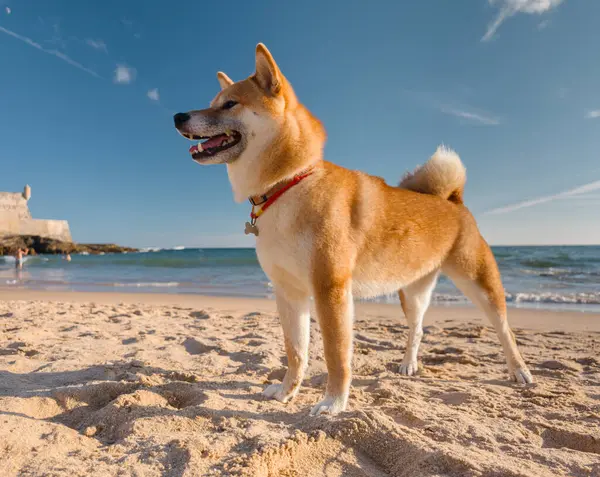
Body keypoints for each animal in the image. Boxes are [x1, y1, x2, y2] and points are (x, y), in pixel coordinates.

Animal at [173, 43, 536, 412]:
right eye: (213, 101)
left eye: (229, 104)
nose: (178, 116)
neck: (288, 184)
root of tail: (453, 201)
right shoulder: (289, 292)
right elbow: (296, 353)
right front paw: (287, 392)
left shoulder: (330, 290)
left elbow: (335, 355)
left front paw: (333, 403)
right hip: (412, 292)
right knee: (417, 329)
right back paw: (409, 365)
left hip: (478, 282)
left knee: (504, 328)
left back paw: (519, 371)